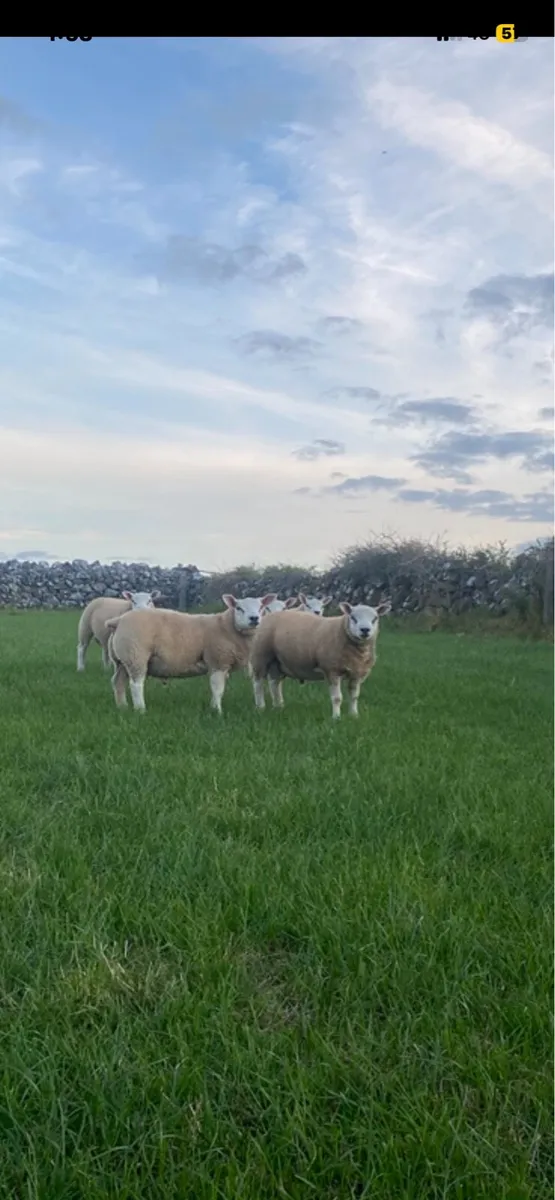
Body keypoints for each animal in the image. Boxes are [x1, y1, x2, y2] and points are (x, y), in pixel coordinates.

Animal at [106, 592, 277, 714]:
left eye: (261, 607)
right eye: (239, 608)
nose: (254, 618)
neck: (226, 626)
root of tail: (118, 621)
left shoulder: (220, 663)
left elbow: (217, 688)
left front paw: (213, 707)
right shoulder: (217, 659)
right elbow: (217, 688)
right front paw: (218, 711)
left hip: (122, 660)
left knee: (118, 682)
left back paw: (122, 706)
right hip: (136, 655)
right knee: (136, 684)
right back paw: (141, 710)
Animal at [249, 600, 391, 719]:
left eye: (375, 618)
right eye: (353, 617)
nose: (365, 630)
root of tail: (268, 616)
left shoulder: (357, 673)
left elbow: (354, 696)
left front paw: (354, 715)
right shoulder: (332, 670)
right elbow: (337, 698)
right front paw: (336, 718)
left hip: (277, 662)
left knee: (274, 684)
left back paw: (278, 706)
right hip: (260, 656)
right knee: (258, 684)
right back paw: (260, 707)